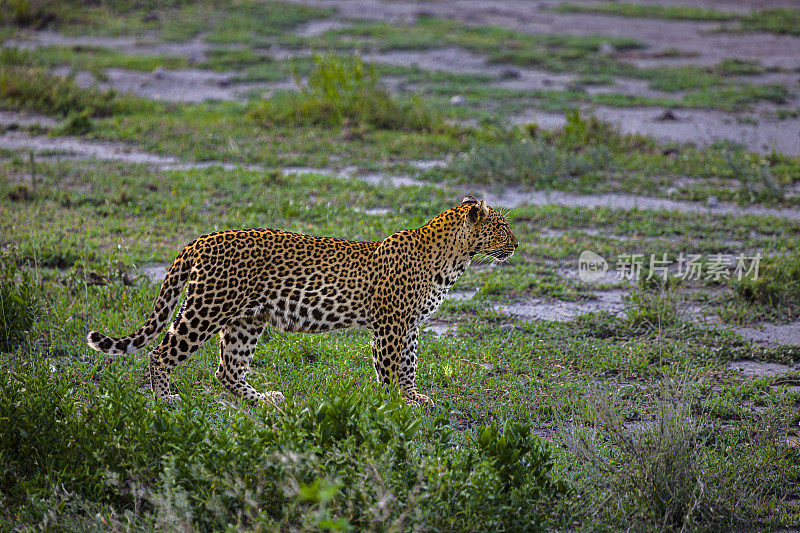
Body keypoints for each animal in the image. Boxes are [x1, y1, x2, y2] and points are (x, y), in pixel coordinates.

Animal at [84, 194, 516, 404]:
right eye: (502, 228)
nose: (516, 245)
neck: (455, 258)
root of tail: (201, 239)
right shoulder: (390, 324)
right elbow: (391, 367)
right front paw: (399, 403)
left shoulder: (409, 326)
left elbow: (408, 366)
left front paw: (413, 397)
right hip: (207, 309)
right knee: (161, 352)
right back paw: (165, 399)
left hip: (245, 321)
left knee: (227, 370)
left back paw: (263, 400)